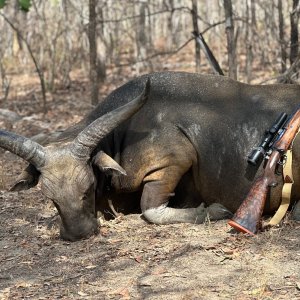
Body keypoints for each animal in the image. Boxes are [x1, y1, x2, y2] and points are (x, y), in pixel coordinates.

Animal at [0, 71, 300, 240]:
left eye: (87, 188)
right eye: (51, 197)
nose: (78, 233)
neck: (124, 133)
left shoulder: (175, 159)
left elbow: (151, 210)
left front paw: (212, 210)